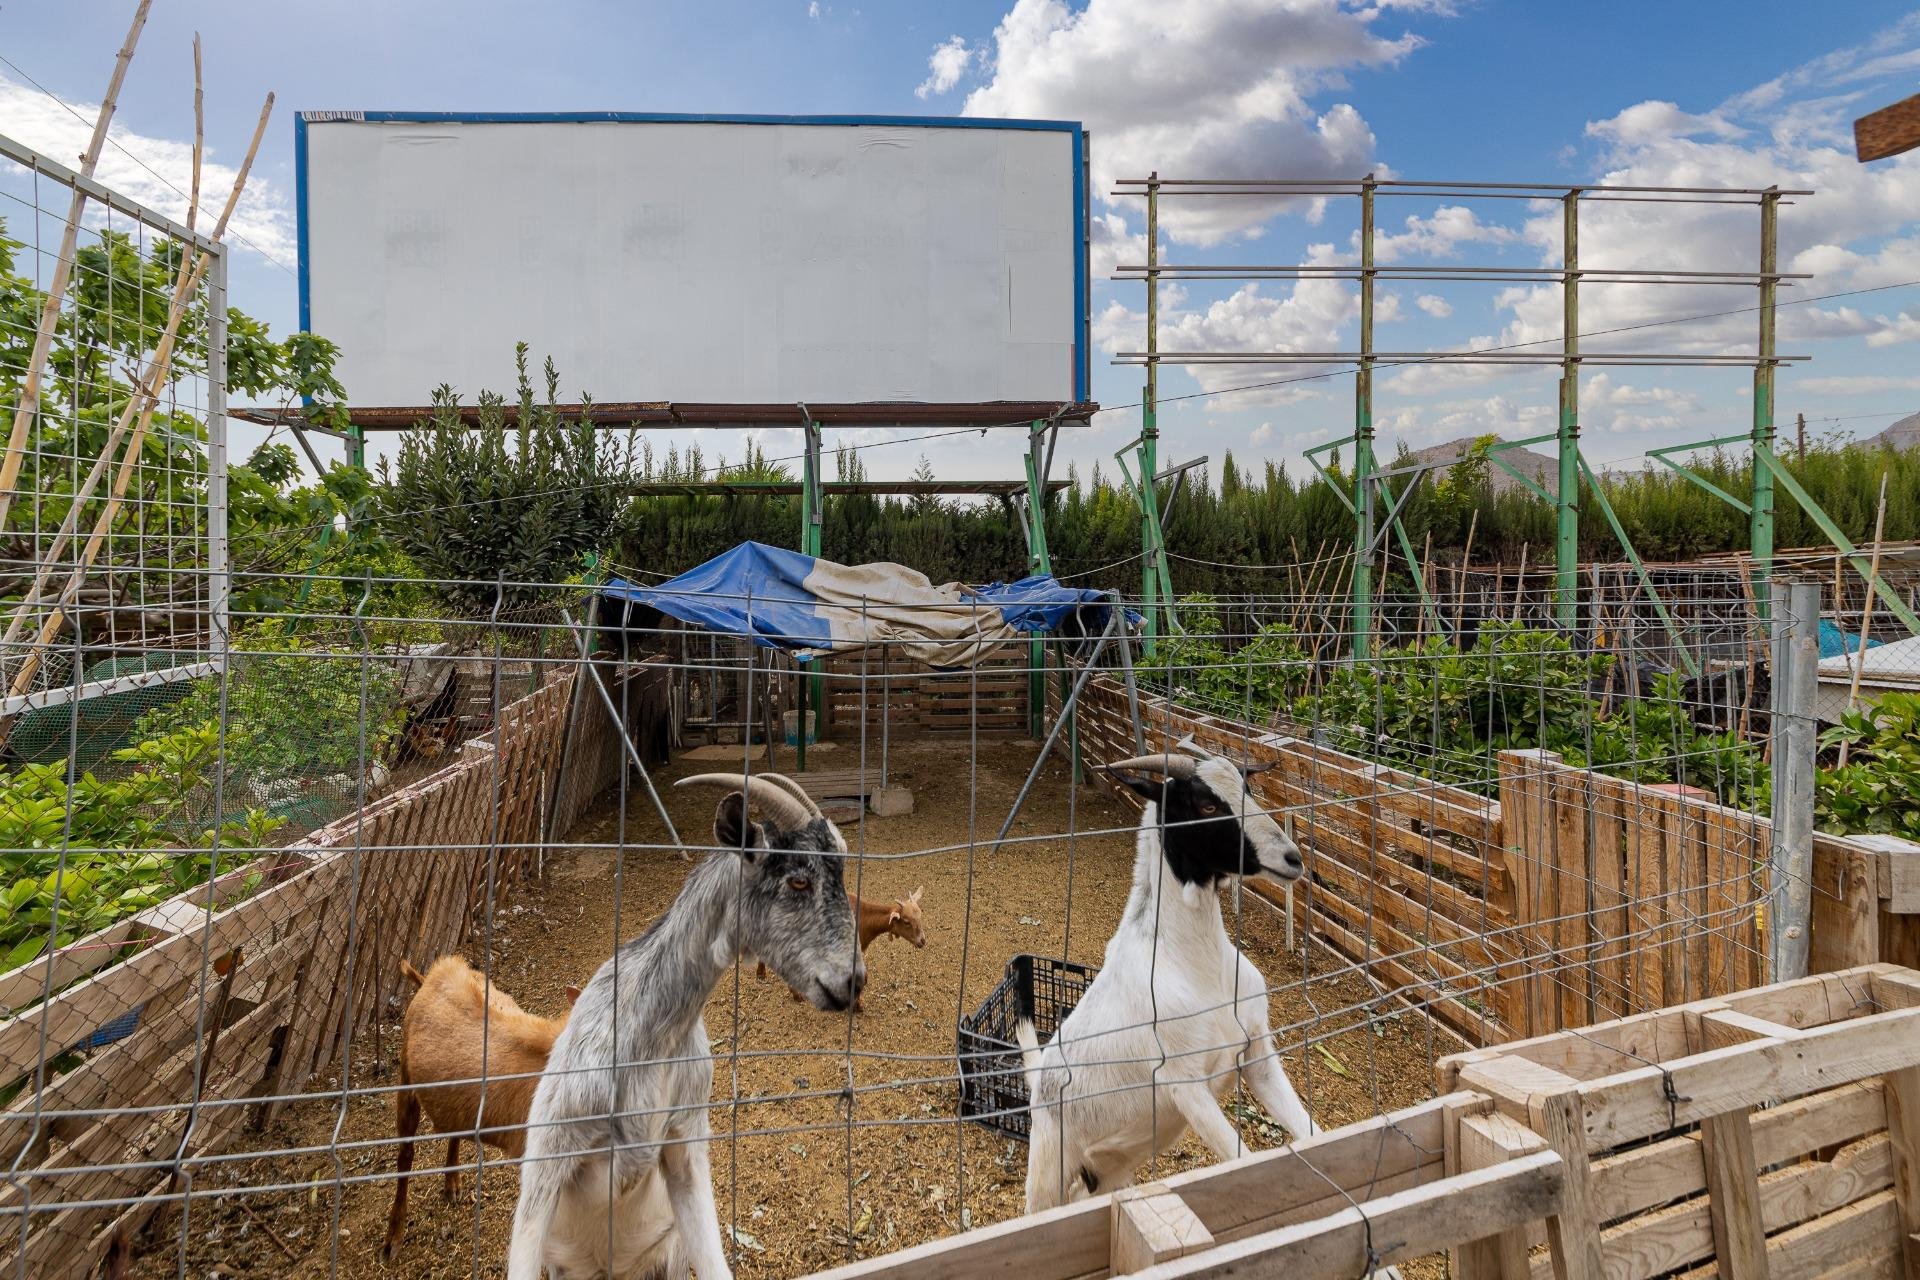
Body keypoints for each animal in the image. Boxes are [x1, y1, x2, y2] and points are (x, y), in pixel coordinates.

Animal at [1021, 740, 1320, 1212]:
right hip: (1049, 1168)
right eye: (1205, 804)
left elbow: (1314, 1134)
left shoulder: (1256, 1054)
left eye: (1247, 789)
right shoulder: (1185, 1084)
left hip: (1109, 1170)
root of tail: (1038, 1086)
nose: (1292, 858)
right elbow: (1242, 1158)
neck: (1197, 968)